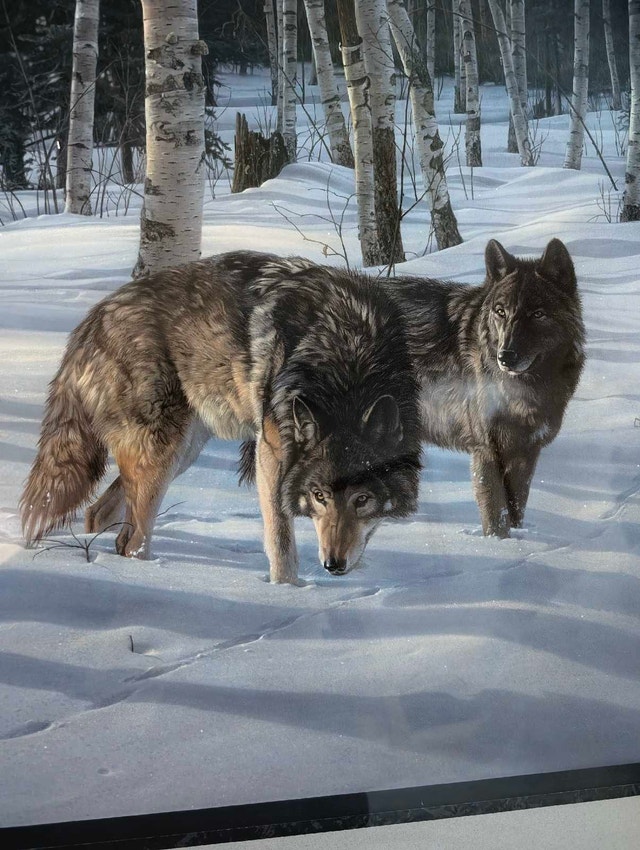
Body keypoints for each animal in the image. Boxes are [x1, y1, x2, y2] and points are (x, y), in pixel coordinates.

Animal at [20, 252, 422, 583]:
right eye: (318, 495)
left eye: (362, 499)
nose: (333, 565)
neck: (347, 355)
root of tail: (91, 320)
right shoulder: (271, 452)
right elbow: (281, 542)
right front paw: (289, 593)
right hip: (163, 453)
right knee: (133, 540)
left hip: (182, 453)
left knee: (99, 515)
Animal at [385, 237, 585, 537]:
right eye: (500, 311)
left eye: (538, 314)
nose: (506, 356)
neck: (524, 391)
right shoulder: (487, 450)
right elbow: (497, 513)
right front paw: (497, 544)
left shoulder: (526, 452)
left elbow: (517, 508)